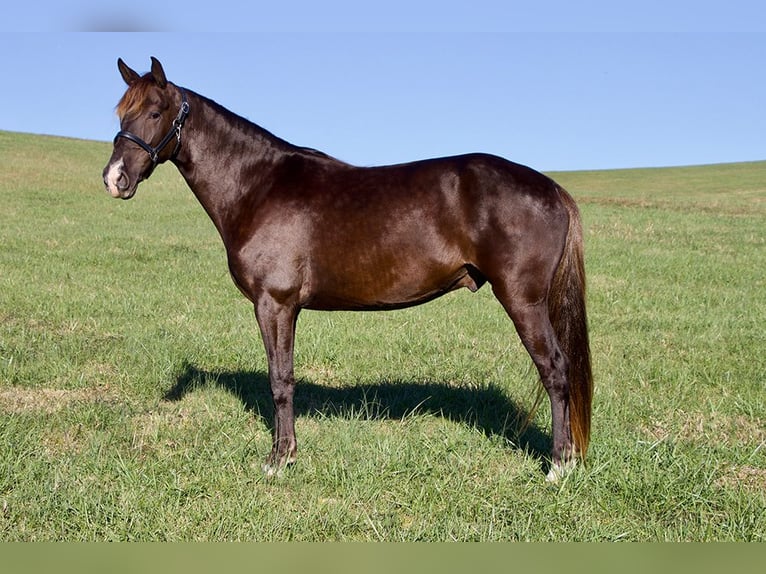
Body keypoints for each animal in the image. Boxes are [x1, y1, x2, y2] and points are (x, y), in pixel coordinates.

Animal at [103, 57, 592, 482]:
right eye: (121, 112)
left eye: (155, 111)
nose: (114, 179)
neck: (258, 186)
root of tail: (551, 188)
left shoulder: (274, 305)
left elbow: (280, 380)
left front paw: (278, 461)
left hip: (523, 301)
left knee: (555, 369)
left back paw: (557, 467)